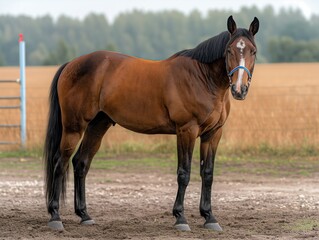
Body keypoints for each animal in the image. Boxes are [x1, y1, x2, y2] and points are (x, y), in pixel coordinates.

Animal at [44, 15, 260, 232]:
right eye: (229, 50)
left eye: (253, 51)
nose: (239, 89)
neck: (202, 78)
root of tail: (71, 64)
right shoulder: (186, 131)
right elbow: (184, 173)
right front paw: (180, 218)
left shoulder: (213, 134)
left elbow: (207, 174)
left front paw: (209, 217)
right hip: (73, 127)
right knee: (60, 163)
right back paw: (55, 216)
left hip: (98, 126)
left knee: (81, 163)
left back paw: (84, 215)